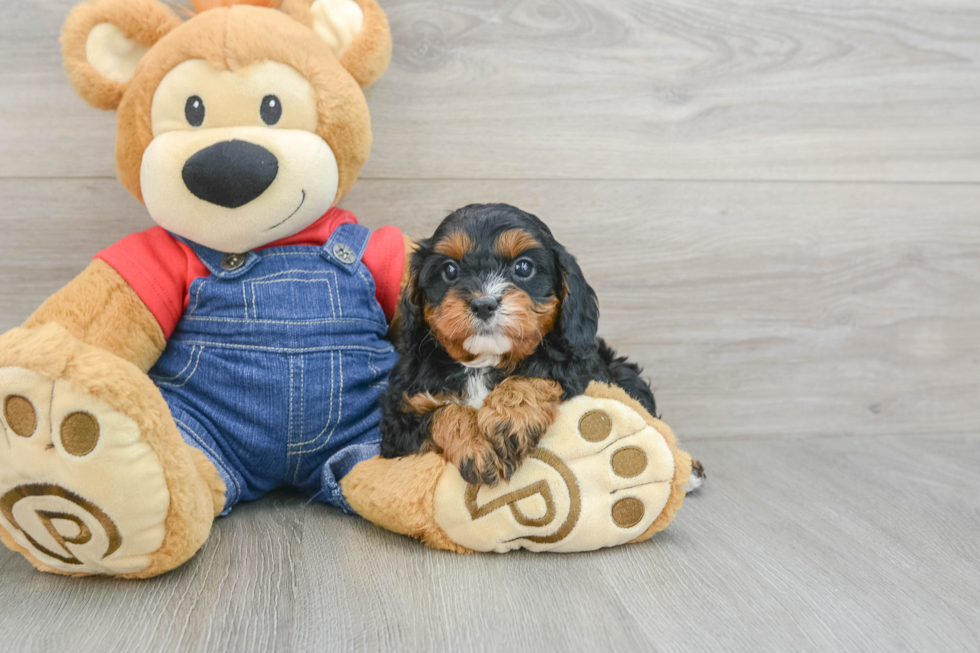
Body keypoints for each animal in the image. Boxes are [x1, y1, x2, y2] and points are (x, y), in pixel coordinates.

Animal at [378, 202, 664, 484]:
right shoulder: (398, 423)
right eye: (449, 270)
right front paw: (476, 443)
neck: (484, 362)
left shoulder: (582, 369)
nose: (484, 304)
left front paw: (508, 418)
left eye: (523, 268)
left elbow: (542, 372)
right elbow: (441, 413)